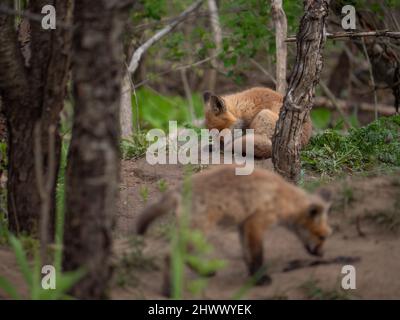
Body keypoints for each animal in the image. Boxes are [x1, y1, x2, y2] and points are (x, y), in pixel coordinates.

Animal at [137, 165, 332, 296]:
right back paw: (168, 290)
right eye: (322, 236)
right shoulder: (256, 223)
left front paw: (252, 276)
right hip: (201, 229)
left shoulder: (243, 225)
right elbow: (257, 255)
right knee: (171, 255)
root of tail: (178, 190)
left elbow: (247, 254)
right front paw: (260, 279)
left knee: (183, 255)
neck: (283, 198)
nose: (322, 254)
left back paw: (204, 272)